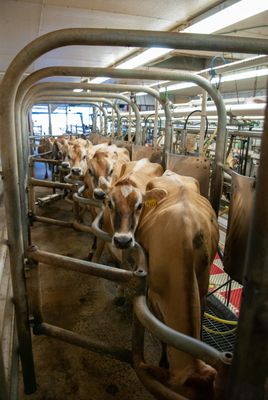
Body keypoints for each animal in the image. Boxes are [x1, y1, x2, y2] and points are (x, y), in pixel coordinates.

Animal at [99, 168, 219, 400]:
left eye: (139, 206)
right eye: (109, 203)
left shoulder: (202, 289)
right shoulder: (153, 296)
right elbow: (164, 336)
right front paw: (164, 361)